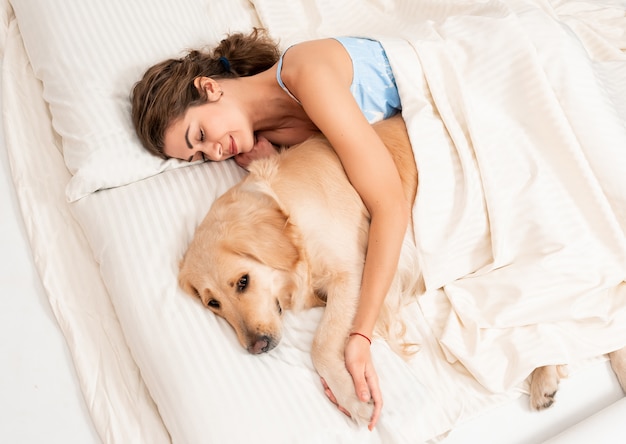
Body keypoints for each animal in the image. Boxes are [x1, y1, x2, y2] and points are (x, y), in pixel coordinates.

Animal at [176, 112, 624, 422]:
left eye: (243, 281)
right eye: (213, 304)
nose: (256, 347)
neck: (286, 209)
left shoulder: (355, 273)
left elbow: (322, 345)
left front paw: (353, 397)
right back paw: (545, 379)